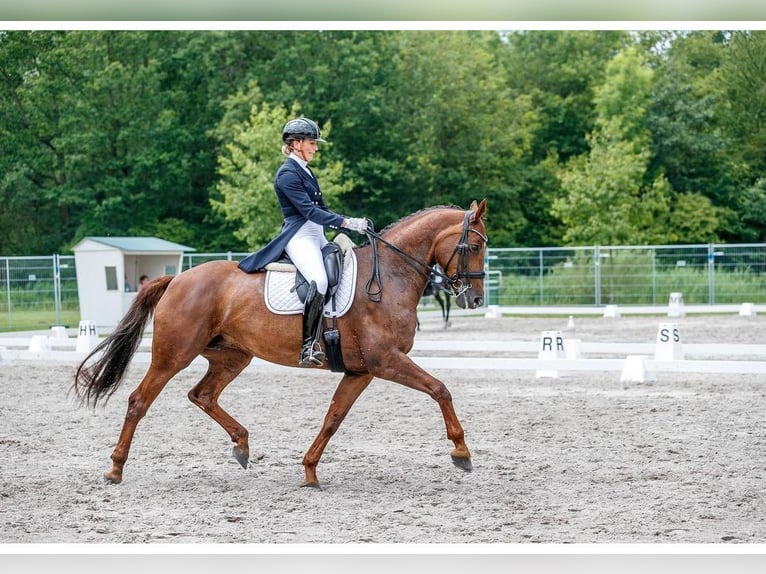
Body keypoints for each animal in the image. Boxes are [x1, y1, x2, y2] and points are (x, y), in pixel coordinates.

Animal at [75, 200, 488, 488]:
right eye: (473, 246)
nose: (475, 299)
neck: (387, 277)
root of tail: (176, 279)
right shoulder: (386, 360)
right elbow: (440, 389)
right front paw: (461, 452)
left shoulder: (361, 370)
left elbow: (333, 418)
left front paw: (309, 471)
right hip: (173, 354)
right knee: (139, 401)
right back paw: (115, 469)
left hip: (232, 356)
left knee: (202, 394)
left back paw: (241, 445)